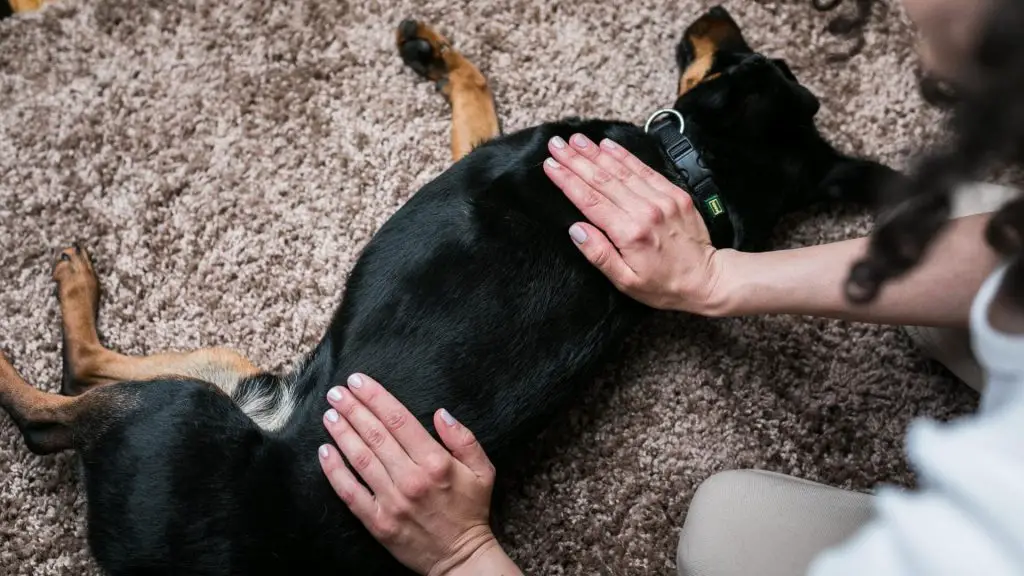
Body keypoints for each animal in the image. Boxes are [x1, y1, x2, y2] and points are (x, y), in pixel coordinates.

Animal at [0, 5, 897, 573]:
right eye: (767, 61)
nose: (715, 11)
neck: (690, 170)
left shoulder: (491, 148)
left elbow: (476, 92)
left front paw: (434, 53)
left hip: (175, 415)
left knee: (50, 410)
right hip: (239, 377)